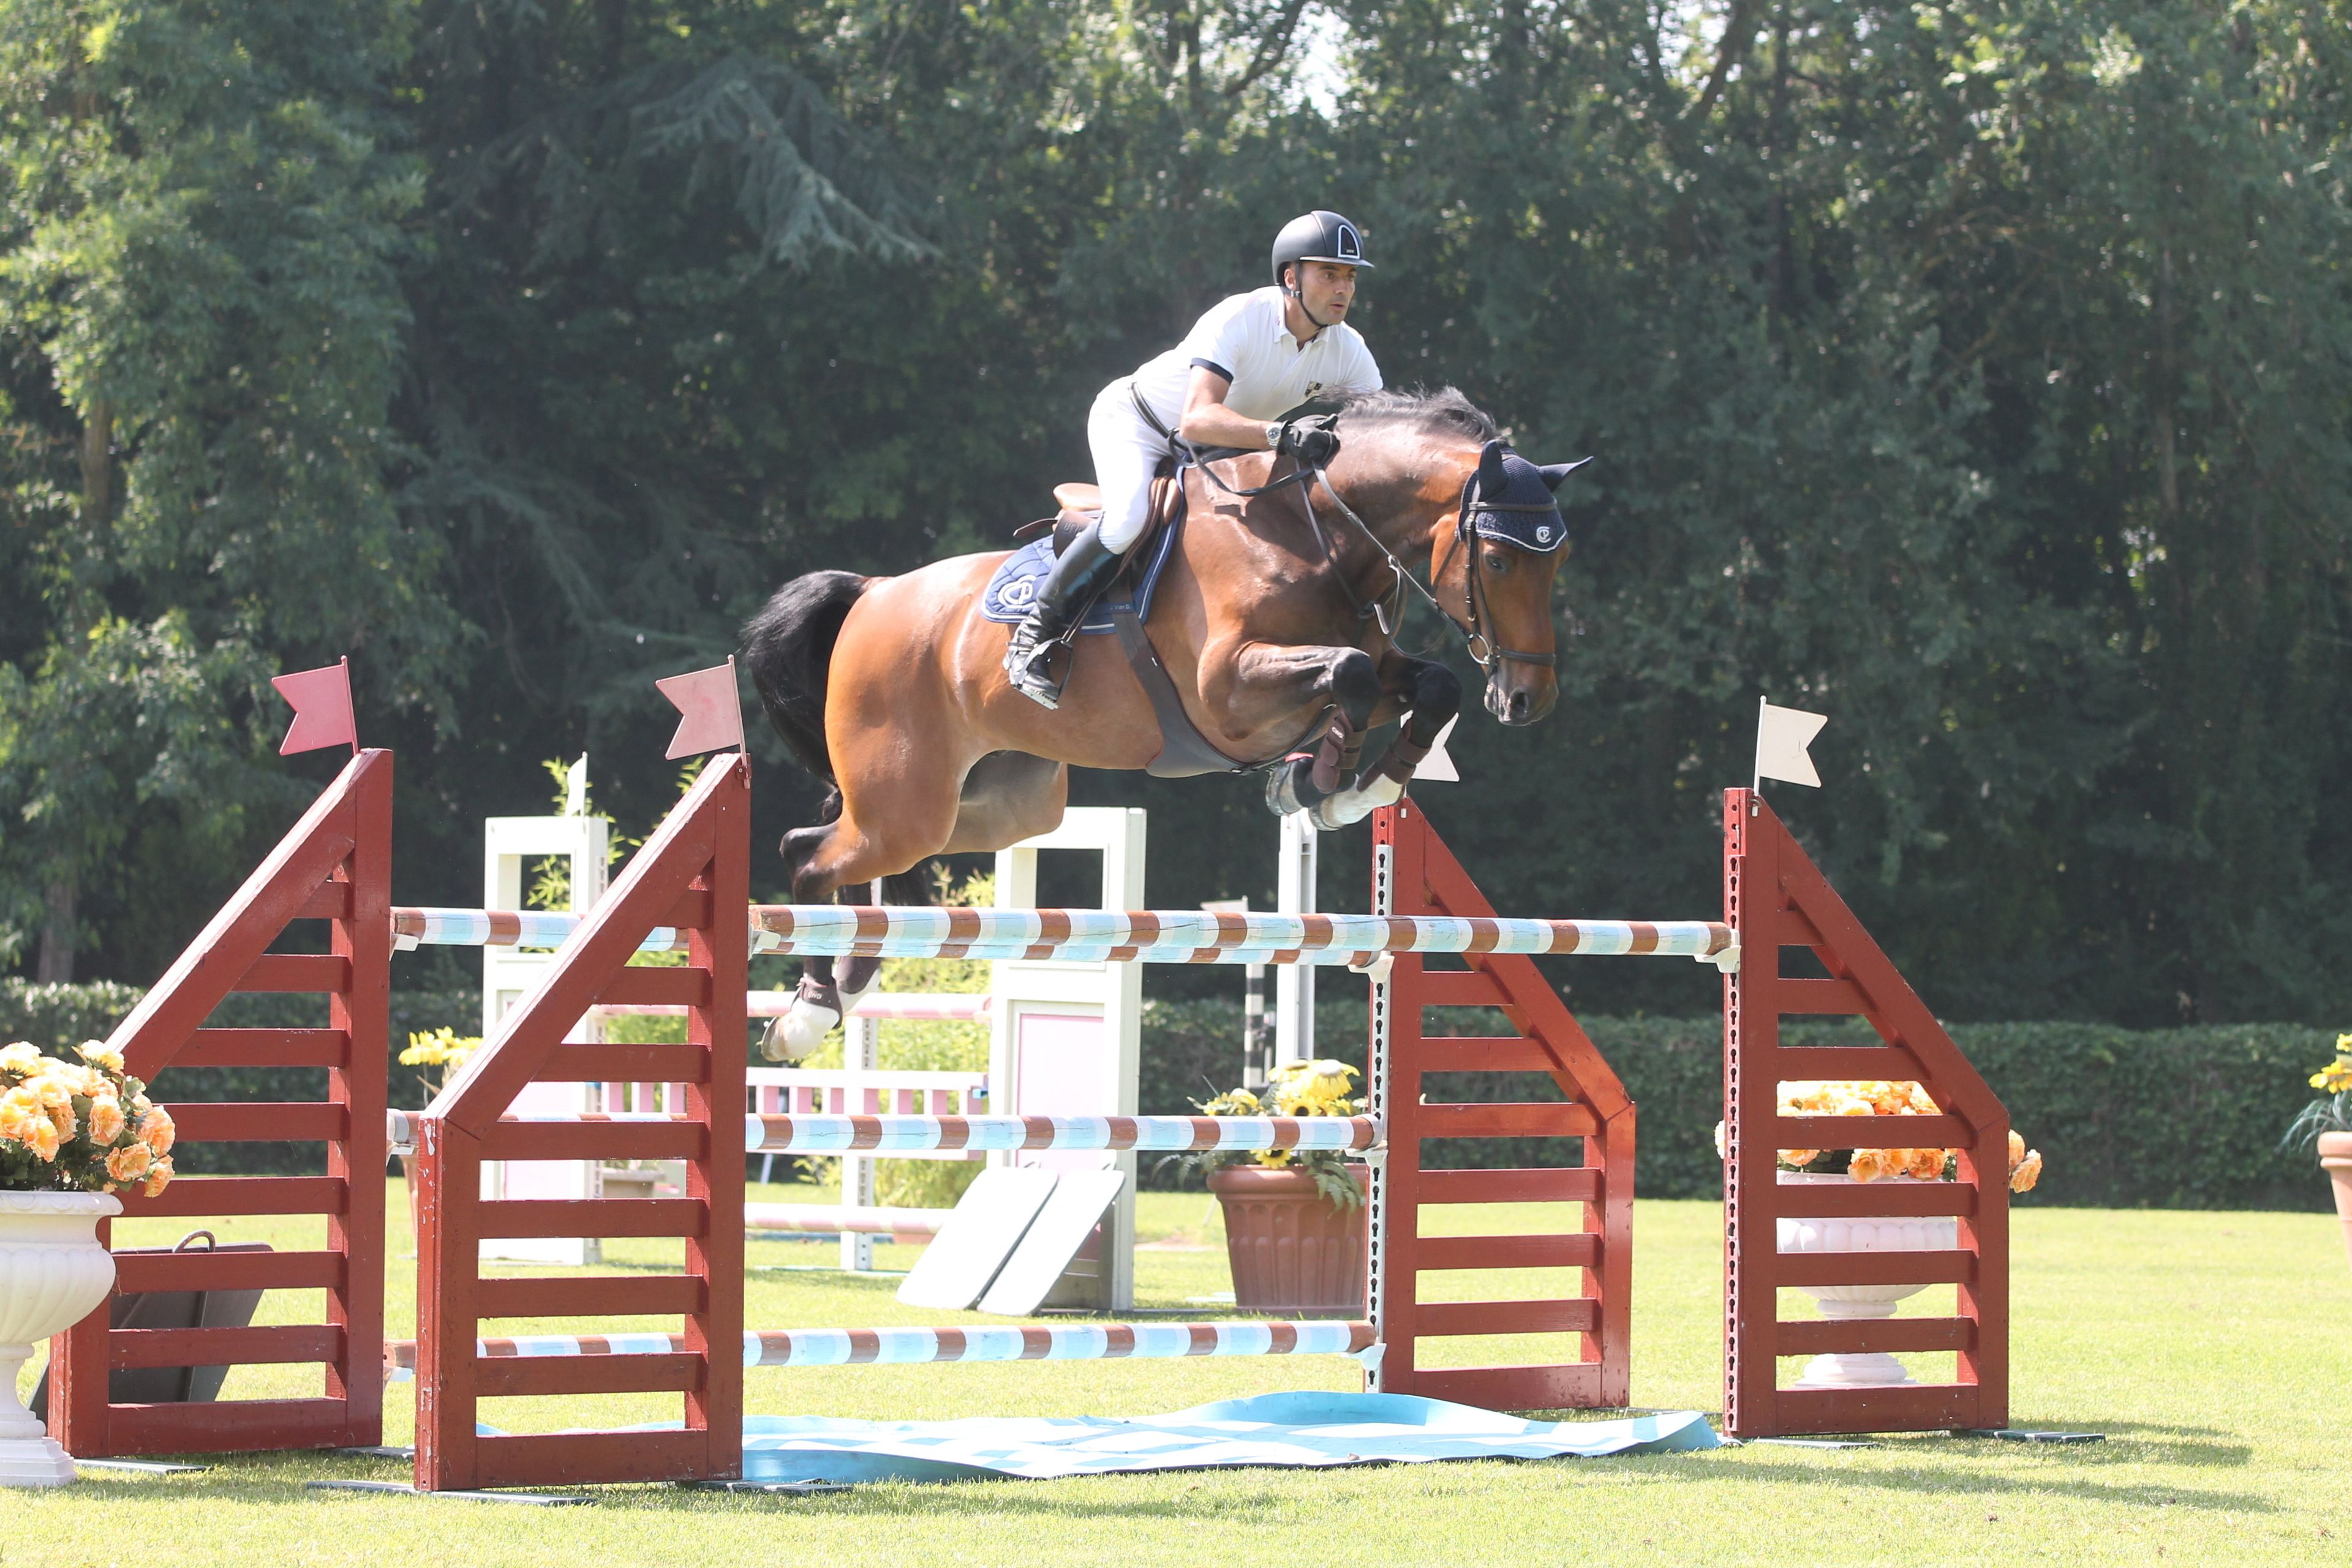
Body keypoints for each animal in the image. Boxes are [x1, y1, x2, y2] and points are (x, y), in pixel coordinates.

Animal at [743, 386, 1584, 1056]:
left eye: (1558, 561)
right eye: (1499, 561)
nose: (1527, 699)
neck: (1314, 533)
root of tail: (874, 592)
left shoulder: (1369, 669)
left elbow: (1429, 684)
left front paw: (1358, 791)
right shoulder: (1229, 691)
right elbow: (1343, 674)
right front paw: (1316, 784)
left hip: (991, 806)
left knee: (844, 844)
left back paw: (849, 978)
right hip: (908, 804)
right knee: (808, 854)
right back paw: (808, 1015)